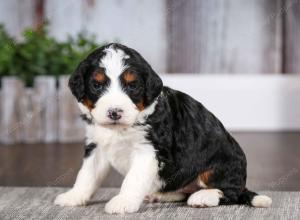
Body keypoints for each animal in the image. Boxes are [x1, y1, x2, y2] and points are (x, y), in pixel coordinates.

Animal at [54, 42, 272, 213]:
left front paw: (123, 201)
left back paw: (204, 197)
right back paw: (158, 195)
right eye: (97, 85)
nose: (114, 112)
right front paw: (73, 196)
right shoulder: (96, 147)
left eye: (132, 86)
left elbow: (133, 179)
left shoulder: (148, 150)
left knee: (230, 192)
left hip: (220, 163)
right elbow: (87, 175)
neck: (121, 128)